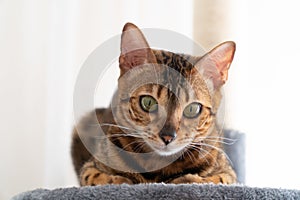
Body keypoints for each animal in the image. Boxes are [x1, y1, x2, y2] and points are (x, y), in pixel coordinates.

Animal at [71, 22, 237, 185]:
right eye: (148, 102)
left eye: (192, 109)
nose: (168, 137)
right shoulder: (90, 167)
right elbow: (98, 178)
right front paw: (121, 180)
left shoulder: (228, 174)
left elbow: (214, 180)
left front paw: (188, 179)